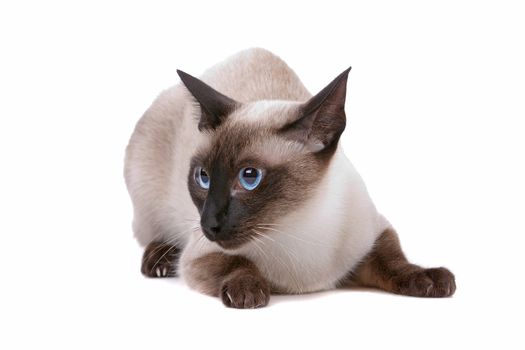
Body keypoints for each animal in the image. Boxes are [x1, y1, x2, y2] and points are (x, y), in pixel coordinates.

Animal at [124, 47, 454, 308]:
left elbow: (395, 262)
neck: (295, 224)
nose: (210, 224)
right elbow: (237, 261)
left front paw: (429, 279)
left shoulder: (375, 235)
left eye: (249, 177)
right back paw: (159, 260)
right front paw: (248, 291)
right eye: (203, 177)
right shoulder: (199, 256)